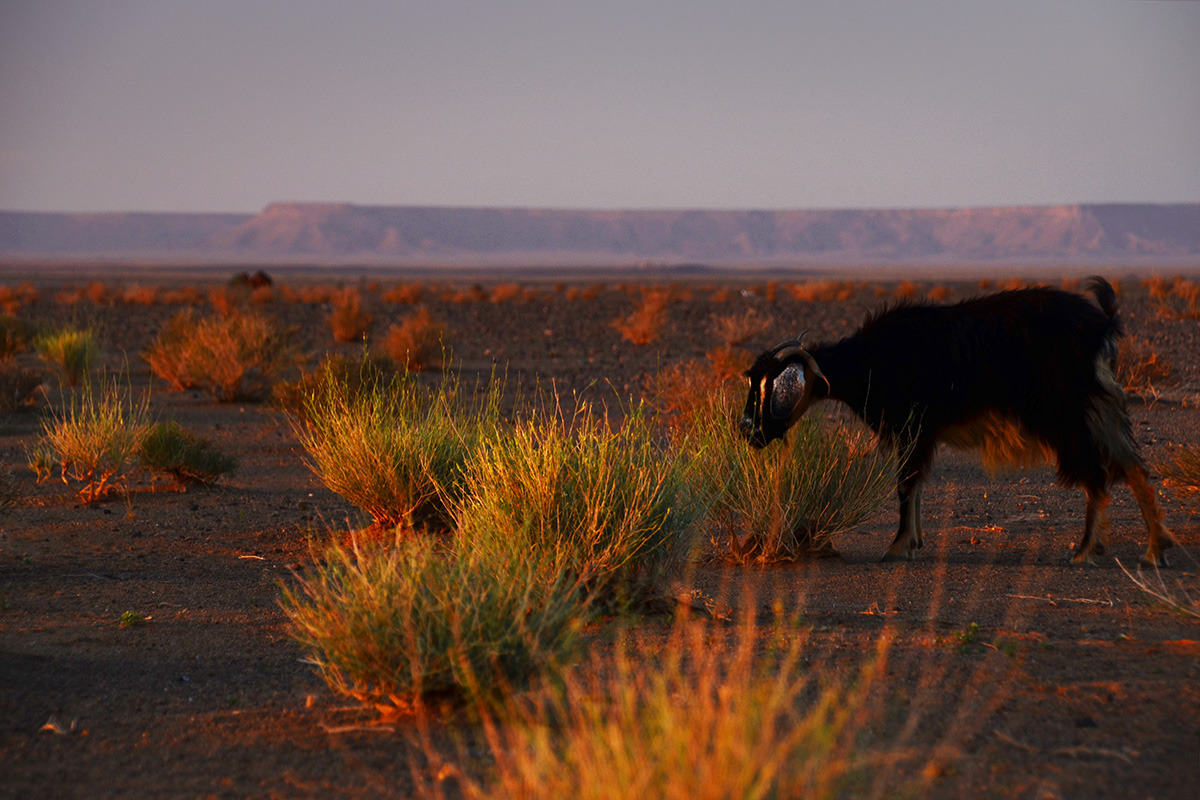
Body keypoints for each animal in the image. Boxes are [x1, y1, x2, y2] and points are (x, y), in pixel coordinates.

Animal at [739, 278, 1171, 566]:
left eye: (774, 386)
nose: (747, 430)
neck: (871, 359)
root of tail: (1102, 325)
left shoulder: (913, 428)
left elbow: (906, 483)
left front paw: (897, 546)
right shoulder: (919, 433)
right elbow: (915, 485)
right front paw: (913, 542)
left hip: (1068, 416)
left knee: (1097, 473)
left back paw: (1084, 551)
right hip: (1101, 408)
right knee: (1133, 467)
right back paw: (1154, 549)